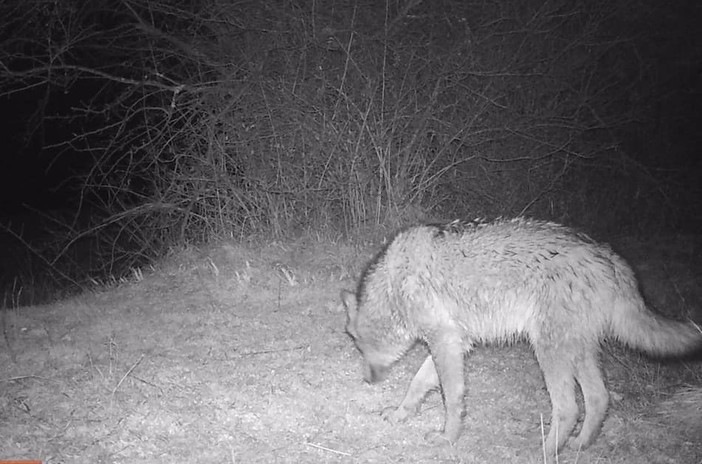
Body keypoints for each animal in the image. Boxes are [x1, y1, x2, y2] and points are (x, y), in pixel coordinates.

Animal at [342, 218, 702, 456]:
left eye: (358, 345)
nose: (367, 380)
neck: (394, 285)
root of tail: (610, 257)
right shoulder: (454, 342)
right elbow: (418, 384)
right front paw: (401, 414)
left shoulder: (444, 342)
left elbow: (451, 398)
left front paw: (448, 439)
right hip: (576, 352)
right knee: (599, 398)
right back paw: (578, 445)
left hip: (549, 351)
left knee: (569, 407)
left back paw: (543, 452)